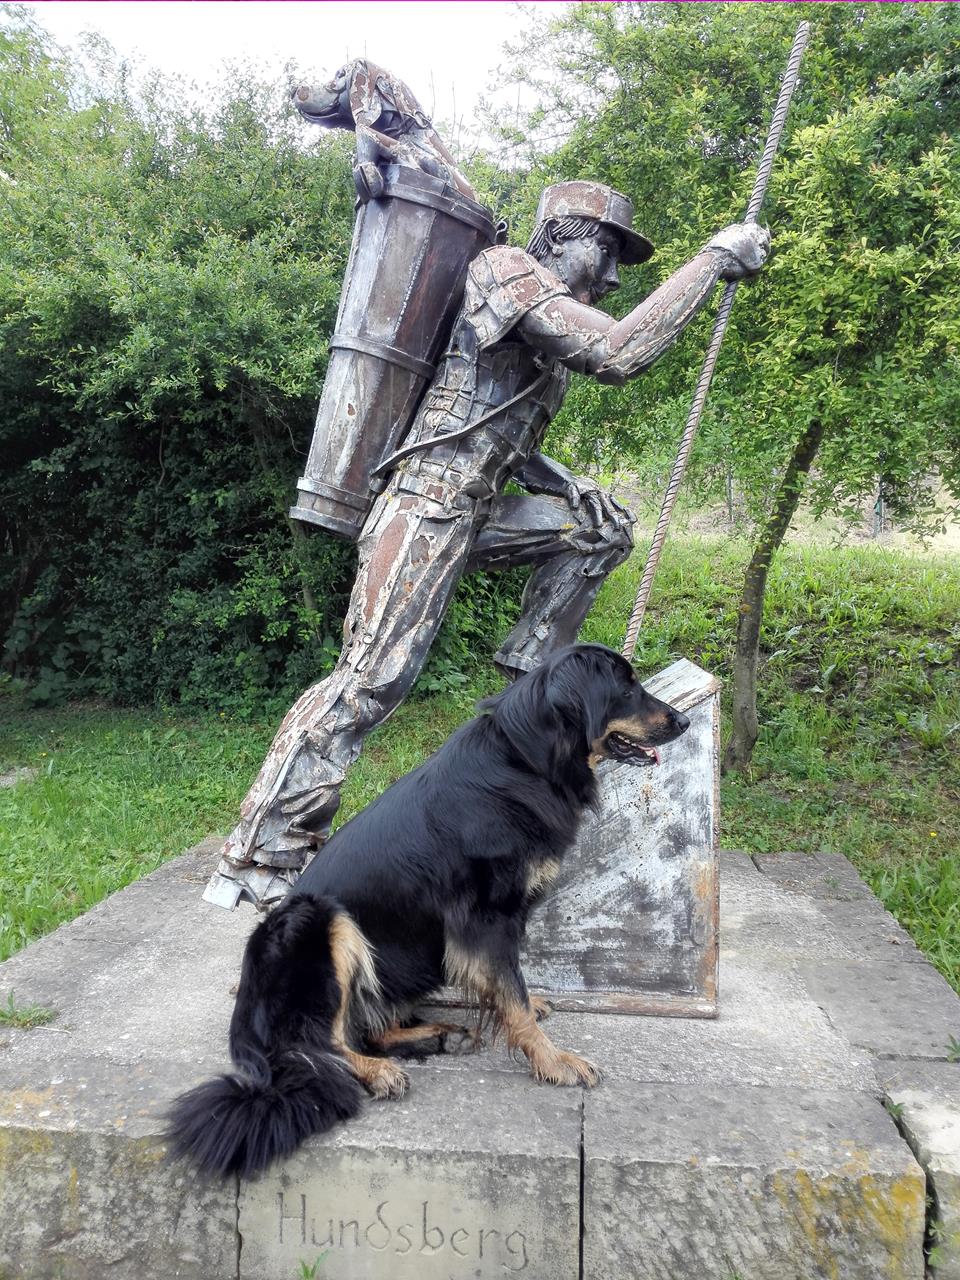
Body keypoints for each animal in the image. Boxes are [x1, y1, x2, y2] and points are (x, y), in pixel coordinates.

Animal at [166, 643, 689, 1178]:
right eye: (626, 688)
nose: (685, 721)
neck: (527, 761)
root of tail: (247, 1006)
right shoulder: (486, 918)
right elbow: (513, 996)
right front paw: (552, 1061)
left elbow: (510, 987)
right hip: (324, 923)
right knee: (319, 1042)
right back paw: (378, 1070)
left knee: (368, 1028)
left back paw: (439, 1036)